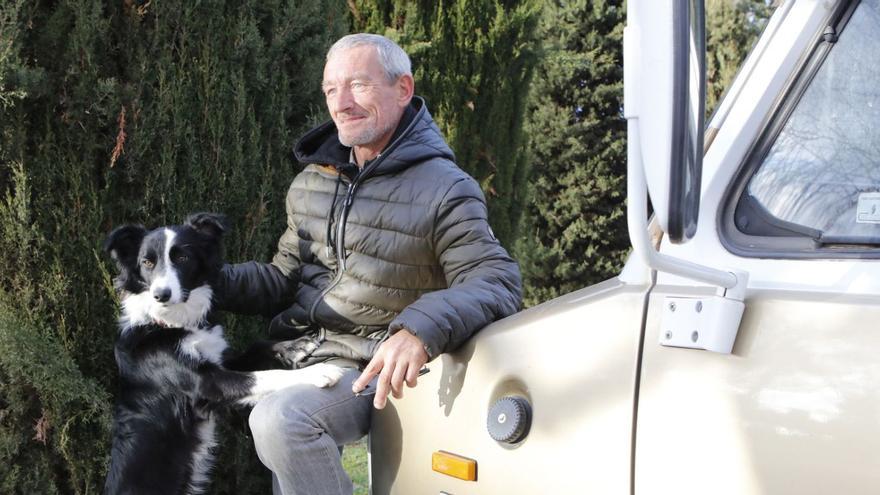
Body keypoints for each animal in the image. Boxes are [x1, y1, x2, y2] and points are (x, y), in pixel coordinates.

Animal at [103, 214, 344, 495]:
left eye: (182, 257)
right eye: (147, 262)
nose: (161, 295)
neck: (172, 323)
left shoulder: (220, 360)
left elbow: (257, 347)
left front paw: (297, 345)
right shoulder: (206, 383)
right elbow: (264, 376)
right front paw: (320, 372)